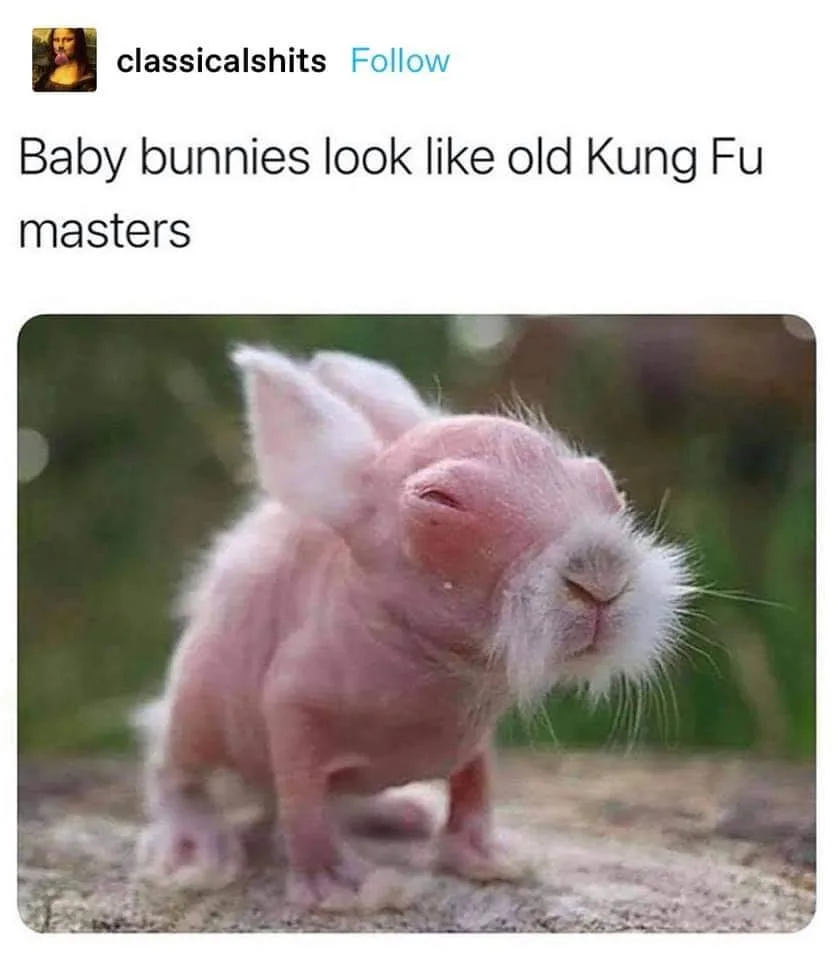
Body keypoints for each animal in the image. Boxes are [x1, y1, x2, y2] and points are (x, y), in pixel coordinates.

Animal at [135, 345, 691, 910]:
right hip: (197, 707)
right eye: (440, 501)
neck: (432, 665)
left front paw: (491, 860)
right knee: (177, 774)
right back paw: (194, 853)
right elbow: (302, 802)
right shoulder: (290, 706)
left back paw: (401, 813)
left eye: (605, 485)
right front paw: (346, 889)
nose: (601, 577)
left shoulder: (474, 740)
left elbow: (475, 790)